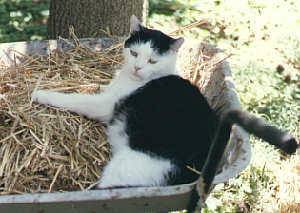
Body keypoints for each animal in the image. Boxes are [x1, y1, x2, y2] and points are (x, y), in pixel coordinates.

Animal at [32, 14, 298, 211]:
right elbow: (90, 88)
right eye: (135, 53)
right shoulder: (107, 91)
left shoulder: (105, 105)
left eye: (153, 61)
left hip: (124, 168)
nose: (138, 67)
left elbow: (75, 99)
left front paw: (40, 93)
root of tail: (197, 174)